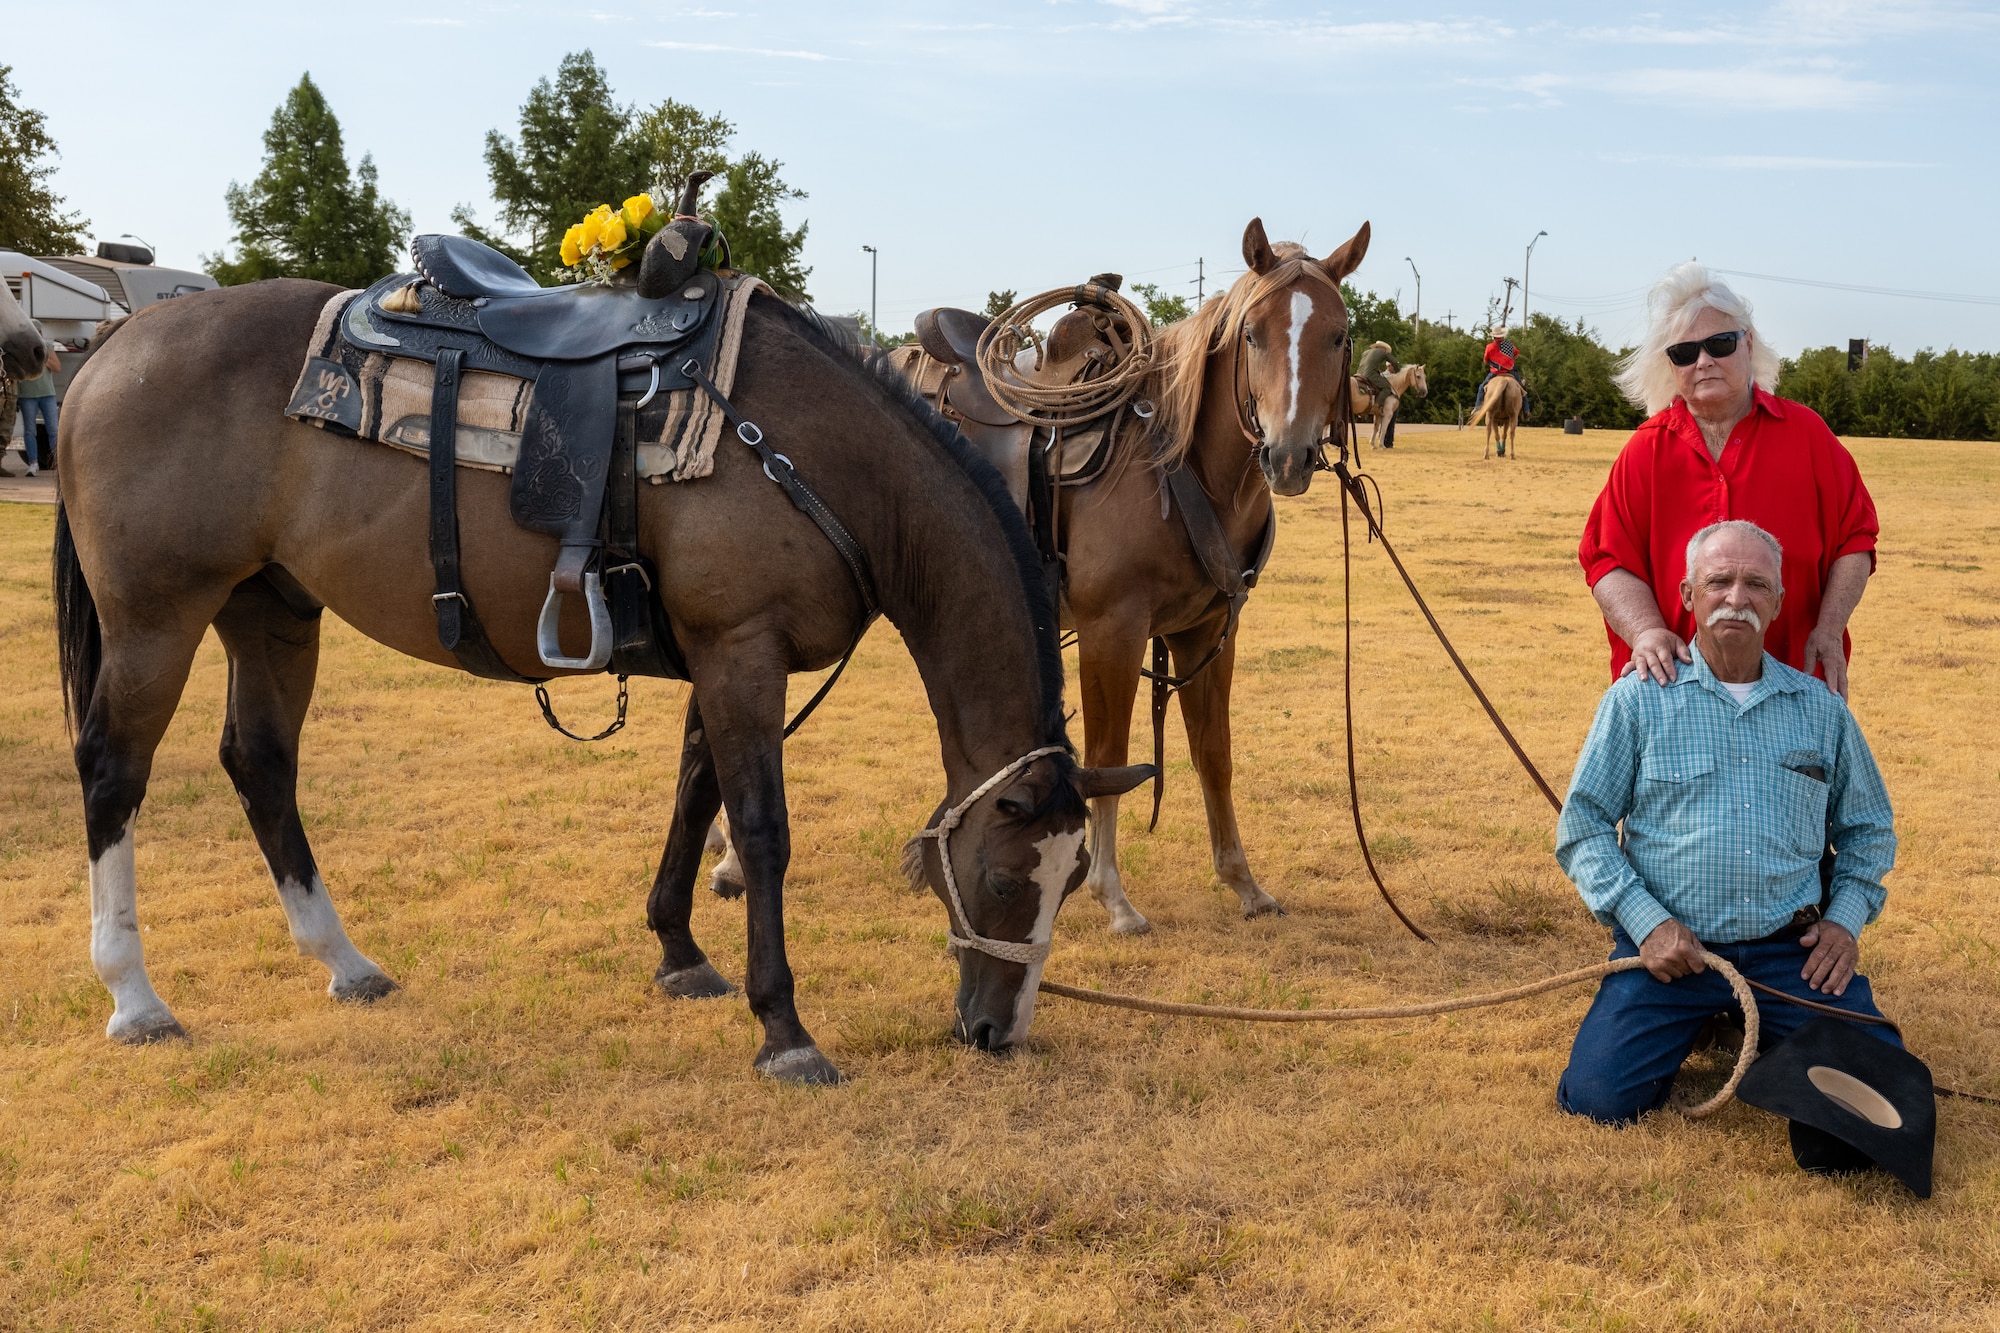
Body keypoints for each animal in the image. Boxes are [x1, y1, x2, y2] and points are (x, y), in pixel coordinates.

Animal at [50, 265, 1152, 1083]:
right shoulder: (741, 652)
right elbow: (759, 832)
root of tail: (114, 346)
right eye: (1005, 878)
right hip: (157, 617)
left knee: (261, 765)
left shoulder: (724, 659)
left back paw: (345, 961)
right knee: (113, 772)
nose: (996, 1032)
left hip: (270, 609)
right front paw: (785, 1029)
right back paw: (133, 993)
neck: (818, 455)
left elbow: (694, 795)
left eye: (1074, 881)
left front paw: (678, 952)